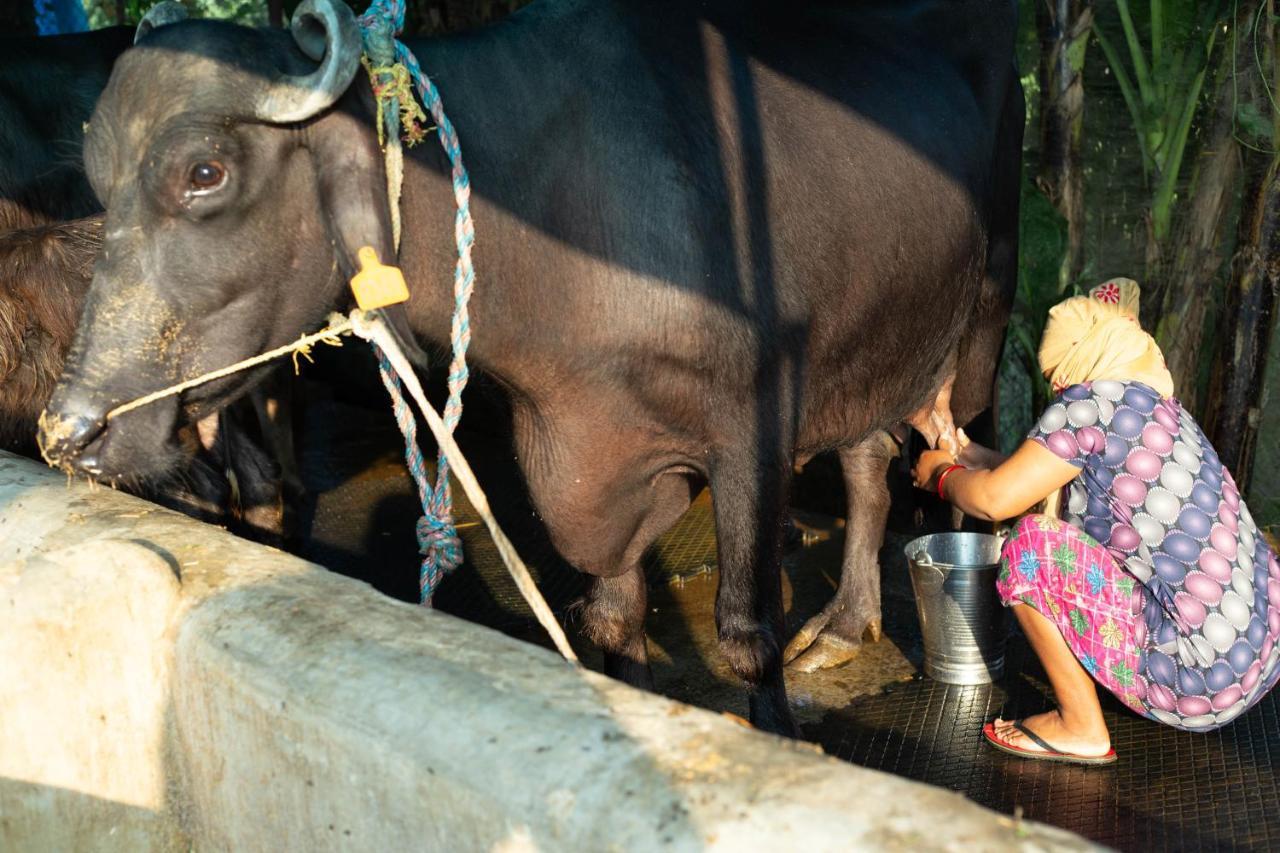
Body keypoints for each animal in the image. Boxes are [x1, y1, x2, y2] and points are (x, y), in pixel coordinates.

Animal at [40, 0, 1018, 732]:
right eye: (99, 183)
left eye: (204, 171)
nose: (69, 430)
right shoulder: (589, 454)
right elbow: (613, 617)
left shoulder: (754, 429)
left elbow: (746, 634)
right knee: (866, 458)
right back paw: (849, 622)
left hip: (978, 315)